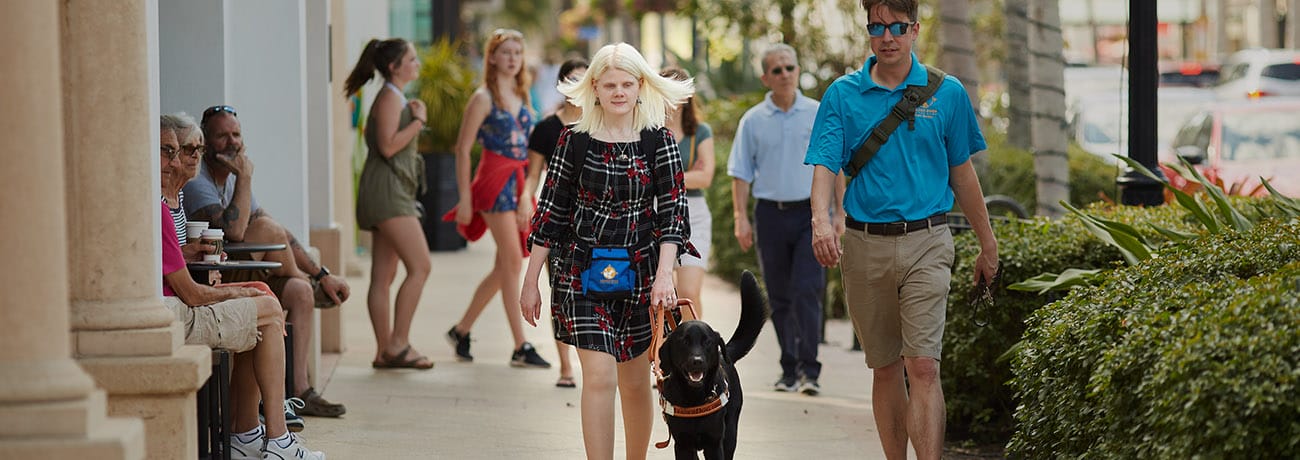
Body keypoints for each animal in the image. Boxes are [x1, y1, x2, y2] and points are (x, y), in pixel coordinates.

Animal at [660, 271, 759, 457]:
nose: (697, 361)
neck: (695, 399)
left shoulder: (714, 444)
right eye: (684, 341)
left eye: (707, 342)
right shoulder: (683, 445)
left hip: (730, 433)